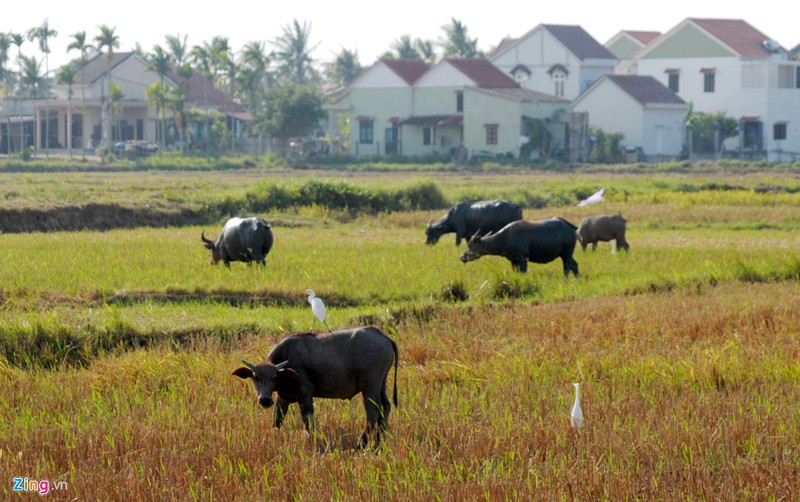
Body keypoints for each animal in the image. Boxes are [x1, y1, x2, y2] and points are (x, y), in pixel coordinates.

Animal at [233, 328, 398, 450]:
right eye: (255, 377)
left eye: (274, 377)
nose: (265, 400)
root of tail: (383, 336)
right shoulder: (283, 398)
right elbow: (277, 421)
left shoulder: (305, 396)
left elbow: (308, 422)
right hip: (381, 385)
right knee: (385, 407)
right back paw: (378, 442)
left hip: (370, 387)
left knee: (372, 413)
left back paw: (361, 444)